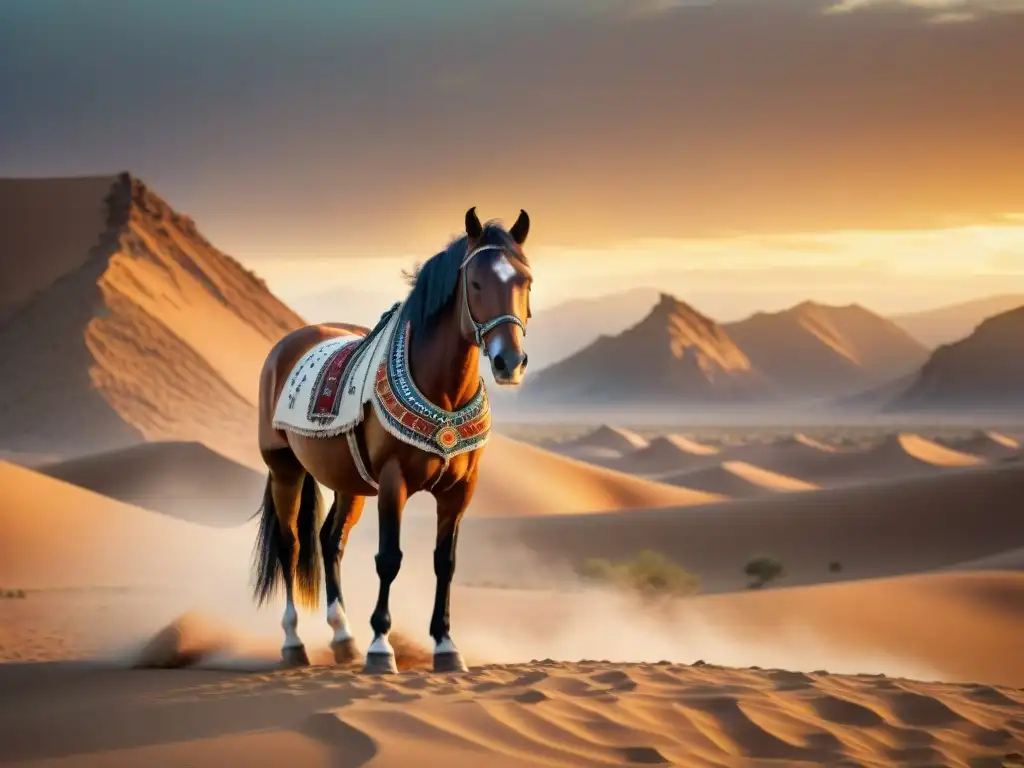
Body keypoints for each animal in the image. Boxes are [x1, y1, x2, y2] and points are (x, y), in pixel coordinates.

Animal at [252, 204, 536, 671]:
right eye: (476, 282)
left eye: (525, 281)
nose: (509, 362)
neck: (442, 394)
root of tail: (289, 343)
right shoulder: (392, 482)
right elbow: (389, 559)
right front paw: (381, 647)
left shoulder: (460, 490)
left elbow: (445, 562)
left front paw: (446, 645)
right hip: (285, 469)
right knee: (290, 545)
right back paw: (294, 643)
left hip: (347, 481)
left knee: (330, 541)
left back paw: (343, 637)